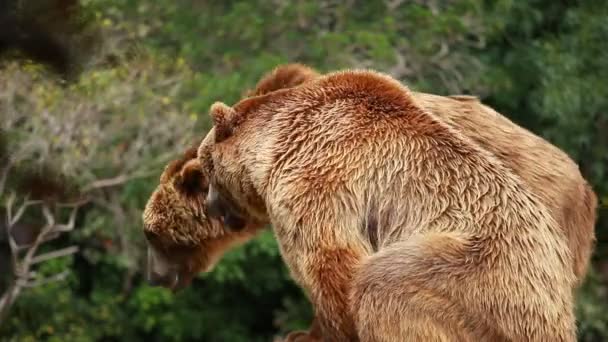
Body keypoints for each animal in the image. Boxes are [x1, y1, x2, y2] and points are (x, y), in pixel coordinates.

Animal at [200, 68, 584, 340]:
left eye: (206, 170)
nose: (211, 208)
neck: (274, 144)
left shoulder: (316, 174)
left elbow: (329, 262)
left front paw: (311, 334)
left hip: (482, 277)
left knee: (384, 282)